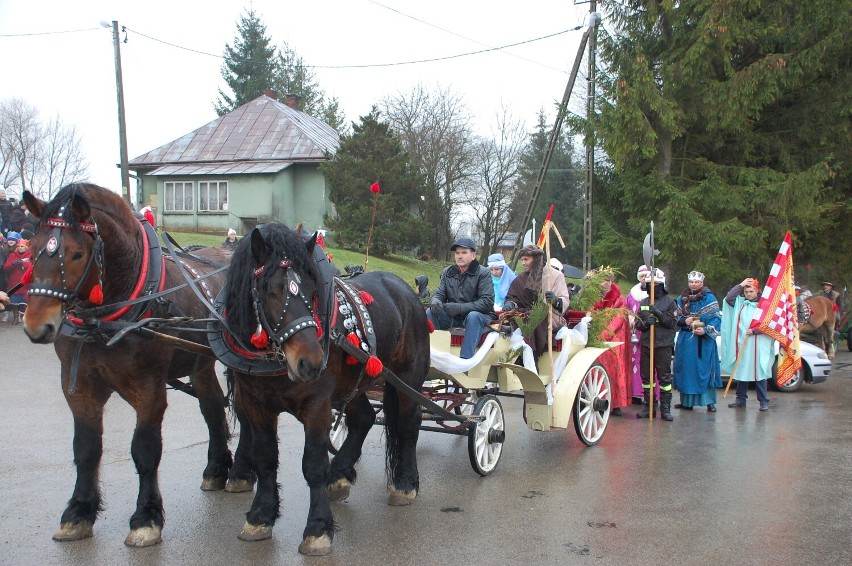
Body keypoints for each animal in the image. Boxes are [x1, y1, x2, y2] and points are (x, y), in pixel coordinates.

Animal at [21, 184, 231, 548]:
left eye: (77, 254)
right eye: (32, 249)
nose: (36, 324)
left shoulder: (149, 387)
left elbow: (145, 449)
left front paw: (146, 517)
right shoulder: (78, 387)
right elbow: (86, 448)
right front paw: (78, 512)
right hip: (201, 363)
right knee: (214, 407)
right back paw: (218, 468)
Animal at [221, 224, 432, 556]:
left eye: (312, 291)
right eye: (270, 291)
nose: (311, 362)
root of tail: (406, 289)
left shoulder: (317, 405)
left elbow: (313, 465)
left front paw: (317, 528)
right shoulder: (255, 404)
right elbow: (265, 458)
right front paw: (260, 517)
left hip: (408, 379)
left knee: (409, 425)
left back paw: (405, 484)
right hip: (353, 383)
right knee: (363, 419)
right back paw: (340, 476)